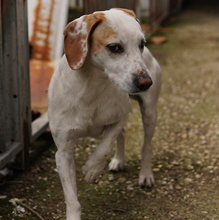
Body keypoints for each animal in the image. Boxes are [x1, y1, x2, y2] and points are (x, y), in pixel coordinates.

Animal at [47, 8, 161, 220]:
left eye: (141, 44)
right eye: (114, 47)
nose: (146, 82)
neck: (91, 88)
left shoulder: (121, 116)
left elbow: (104, 147)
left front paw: (92, 169)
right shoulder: (63, 153)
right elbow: (72, 199)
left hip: (150, 113)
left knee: (146, 146)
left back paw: (145, 174)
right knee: (123, 136)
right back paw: (118, 161)